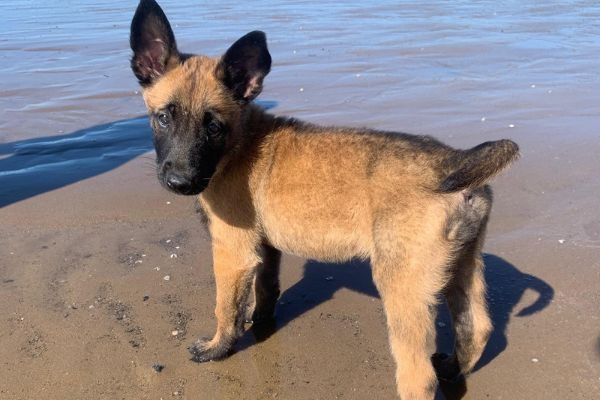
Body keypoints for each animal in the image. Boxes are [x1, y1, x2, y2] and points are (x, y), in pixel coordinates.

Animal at [129, 1, 516, 398]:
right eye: (163, 118)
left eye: (213, 127)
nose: (180, 181)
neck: (240, 142)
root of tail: (454, 161)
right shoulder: (265, 247)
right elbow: (266, 288)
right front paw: (260, 322)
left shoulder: (232, 252)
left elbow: (226, 308)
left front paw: (217, 347)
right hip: (460, 266)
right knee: (476, 328)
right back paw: (453, 367)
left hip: (402, 285)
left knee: (419, 375)